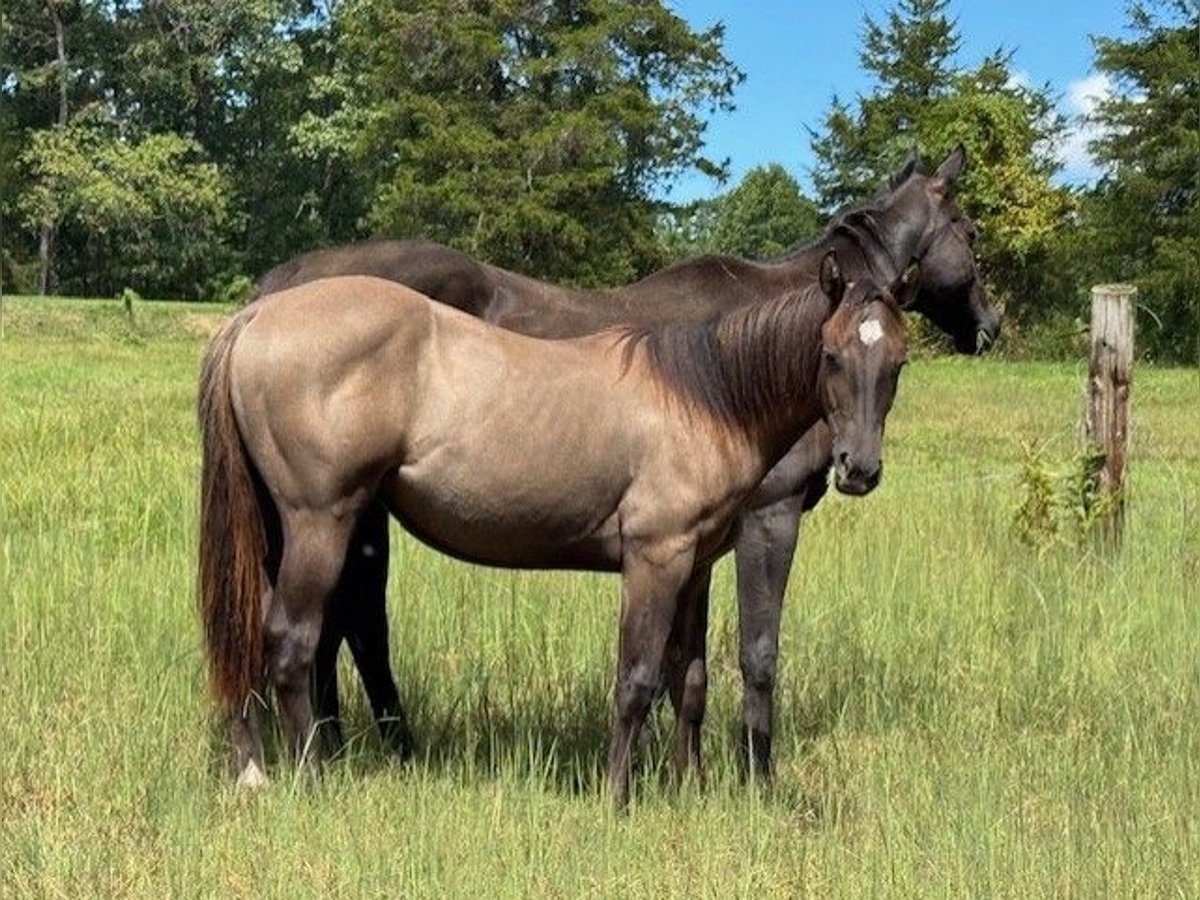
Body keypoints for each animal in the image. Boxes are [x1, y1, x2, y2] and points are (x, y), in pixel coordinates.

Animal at [198, 256, 911, 807]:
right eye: (830, 355)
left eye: (898, 363)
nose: (858, 468)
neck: (703, 397)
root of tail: (254, 318)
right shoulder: (656, 559)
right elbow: (637, 680)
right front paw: (619, 797)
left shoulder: (696, 565)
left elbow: (689, 678)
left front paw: (690, 786)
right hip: (321, 522)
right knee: (292, 642)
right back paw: (310, 777)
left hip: (280, 529)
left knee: (255, 634)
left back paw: (254, 770)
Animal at [251, 145, 997, 778]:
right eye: (970, 232)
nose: (989, 327)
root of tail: (284, 290)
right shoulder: (770, 519)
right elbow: (757, 655)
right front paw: (757, 776)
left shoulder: (701, 544)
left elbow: (685, 669)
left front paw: (686, 775)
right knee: (350, 626)